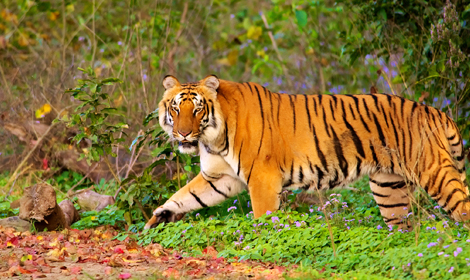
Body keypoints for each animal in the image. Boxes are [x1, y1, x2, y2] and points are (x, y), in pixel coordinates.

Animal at [145, 75, 468, 230]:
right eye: (176, 108)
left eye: (197, 109)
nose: (183, 133)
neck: (214, 138)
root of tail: (436, 112)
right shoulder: (220, 177)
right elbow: (185, 196)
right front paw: (157, 218)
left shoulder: (262, 179)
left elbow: (263, 217)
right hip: (390, 189)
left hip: (434, 173)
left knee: (462, 208)